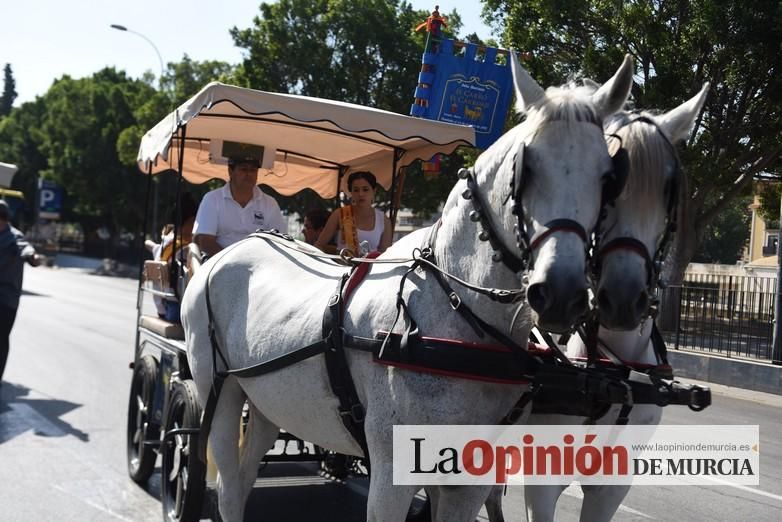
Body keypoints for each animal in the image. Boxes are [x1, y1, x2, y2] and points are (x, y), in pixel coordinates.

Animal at [184, 53, 636, 520]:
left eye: (610, 177)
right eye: (524, 170)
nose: (562, 293)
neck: (458, 324)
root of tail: (233, 251)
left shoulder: (468, 480)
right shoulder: (392, 470)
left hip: (268, 401)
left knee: (245, 476)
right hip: (219, 389)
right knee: (228, 482)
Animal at [516, 85, 712, 520]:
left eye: (668, 188)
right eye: (611, 185)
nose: (623, 298)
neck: (614, 374)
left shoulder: (612, 485)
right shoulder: (542, 480)